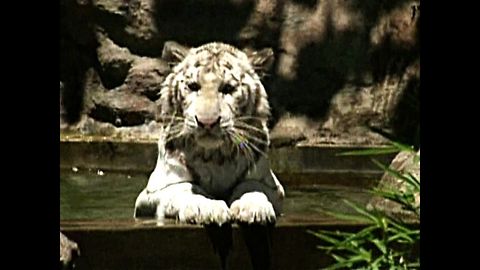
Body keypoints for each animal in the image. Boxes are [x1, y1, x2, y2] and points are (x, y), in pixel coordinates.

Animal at [133, 40, 284, 226]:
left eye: (228, 88)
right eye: (193, 86)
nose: (207, 122)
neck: (214, 157)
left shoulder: (274, 187)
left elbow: (251, 186)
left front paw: (254, 209)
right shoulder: (152, 191)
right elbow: (184, 189)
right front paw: (207, 208)